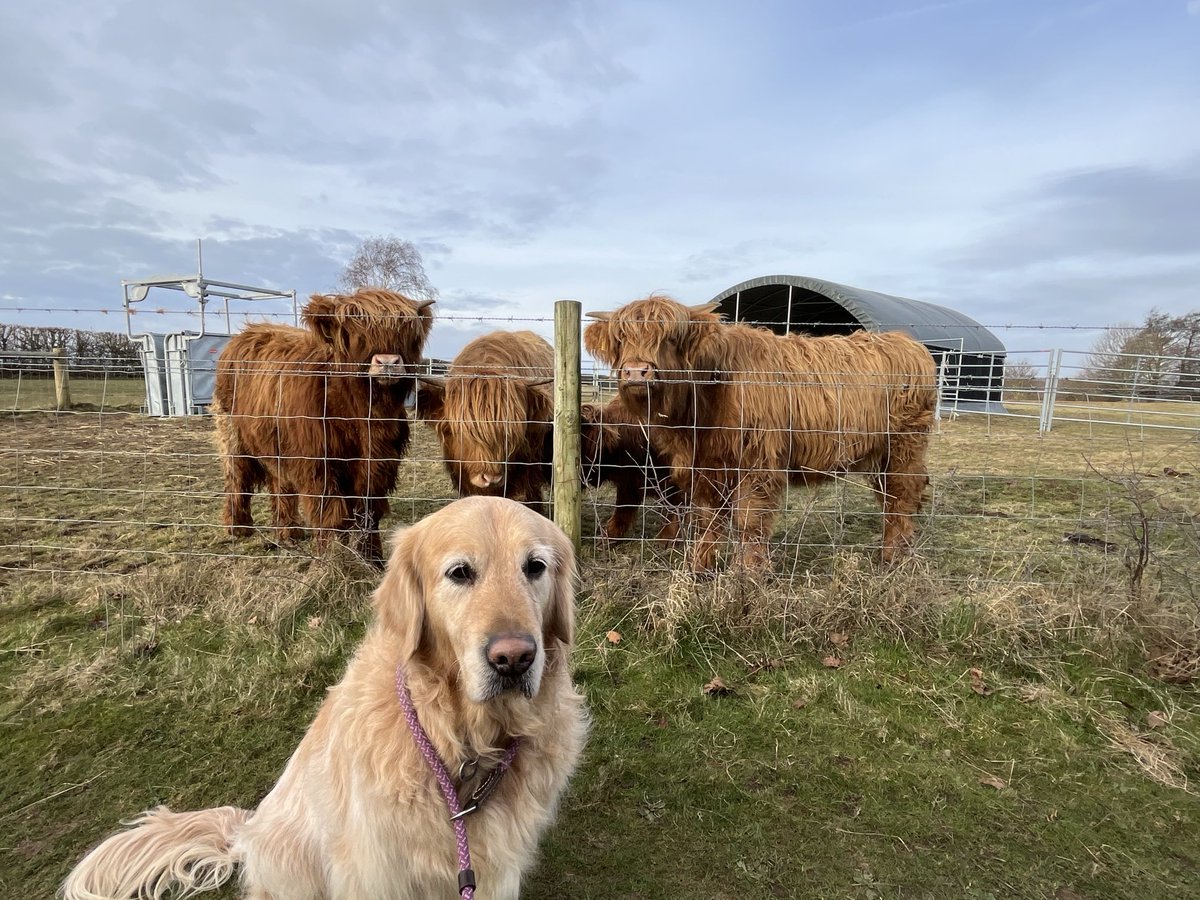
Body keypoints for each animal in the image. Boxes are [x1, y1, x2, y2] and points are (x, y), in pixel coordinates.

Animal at [212, 288, 434, 561]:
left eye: (404, 331)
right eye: (356, 332)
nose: (388, 362)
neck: (362, 414)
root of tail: (248, 332)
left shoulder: (378, 463)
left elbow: (368, 513)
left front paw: (372, 559)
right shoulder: (319, 463)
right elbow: (331, 514)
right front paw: (334, 558)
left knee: (279, 482)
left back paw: (289, 531)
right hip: (232, 434)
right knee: (237, 477)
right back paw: (238, 527)